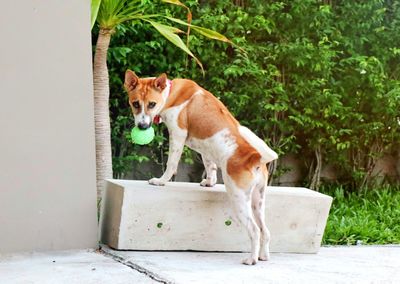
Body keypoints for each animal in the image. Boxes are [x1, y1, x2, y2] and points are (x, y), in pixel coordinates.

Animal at [125, 70, 278, 266]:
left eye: (151, 104)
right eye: (135, 103)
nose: (142, 127)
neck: (171, 94)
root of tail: (254, 158)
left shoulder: (178, 134)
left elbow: (171, 163)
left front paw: (161, 181)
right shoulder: (206, 148)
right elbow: (210, 165)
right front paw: (209, 182)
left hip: (239, 200)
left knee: (255, 230)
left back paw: (251, 259)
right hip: (258, 201)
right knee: (265, 230)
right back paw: (263, 256)